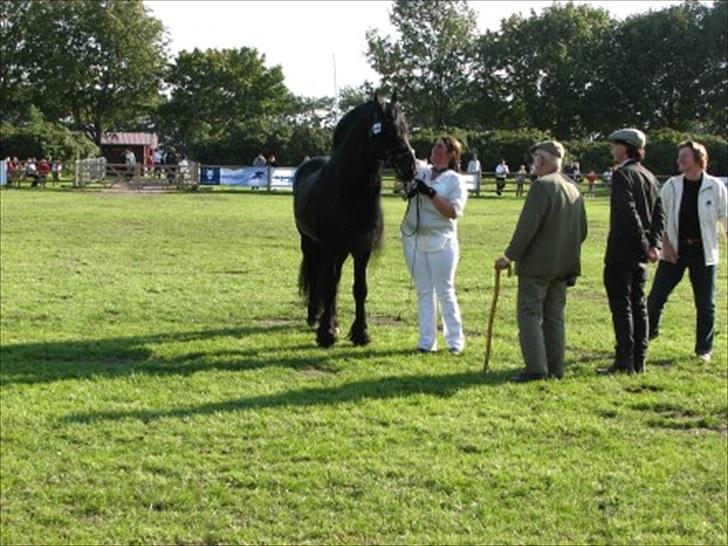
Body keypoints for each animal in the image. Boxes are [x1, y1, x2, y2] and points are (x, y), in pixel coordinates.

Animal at [292, 95, 416, 346]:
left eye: (406, 127)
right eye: (388, 128)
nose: (411, 167)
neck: (351, 189)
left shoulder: (362, 247)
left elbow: (359, 288)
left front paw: (360, 332)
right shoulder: (330, 246)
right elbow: (329, 285)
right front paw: (326, 334)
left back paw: (333, 319)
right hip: (310, 242)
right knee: (318, 274)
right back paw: (316, 316)